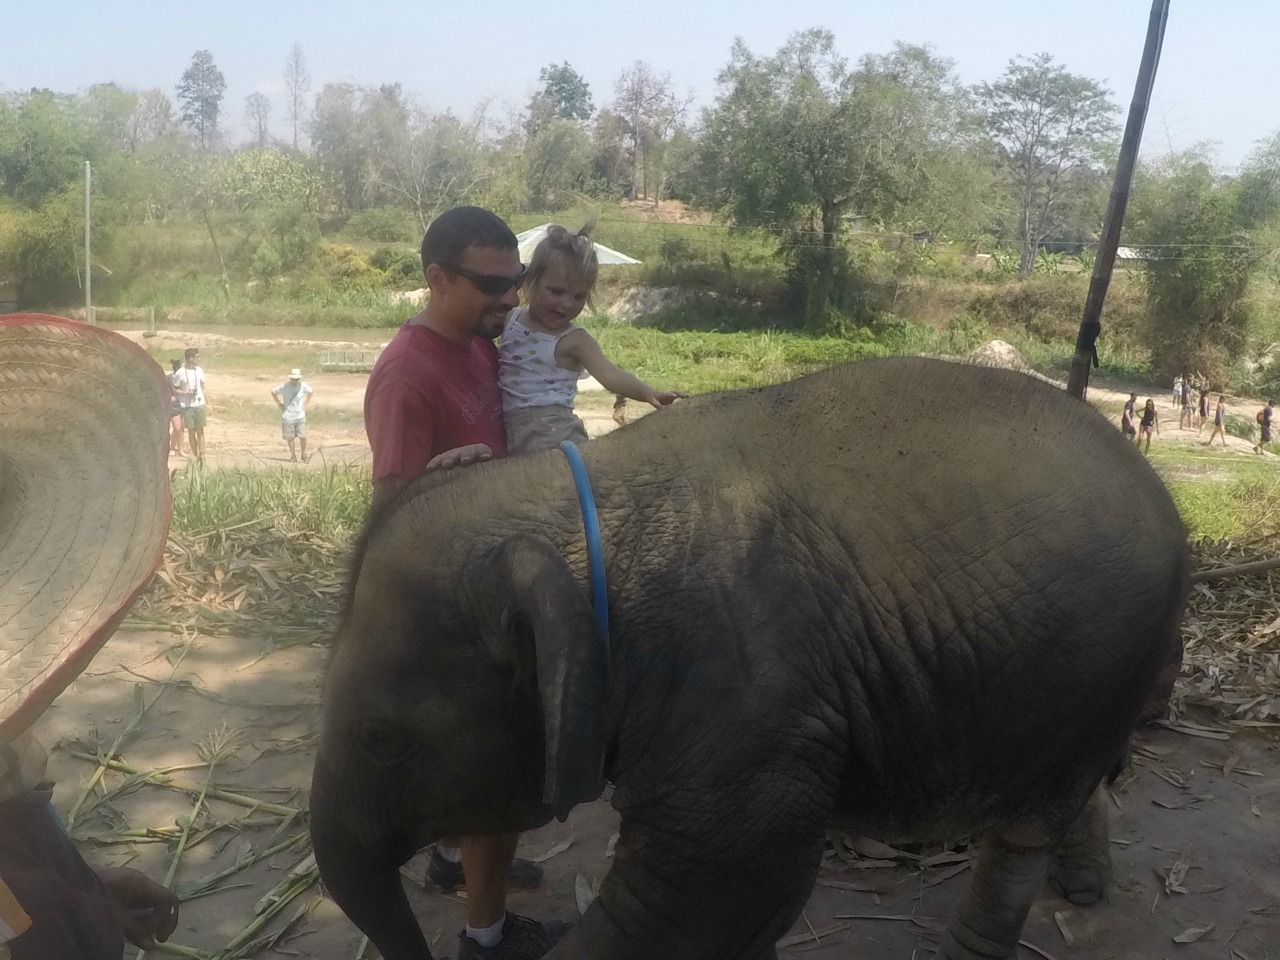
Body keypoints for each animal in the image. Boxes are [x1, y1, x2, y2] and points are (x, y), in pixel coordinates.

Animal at [309, 358, 1187, 960]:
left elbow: (709, 892)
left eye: (380, 739)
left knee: (1023, 834)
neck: (576, 505)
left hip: (1108, 659)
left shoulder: (746, 697)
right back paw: (1083, 882)